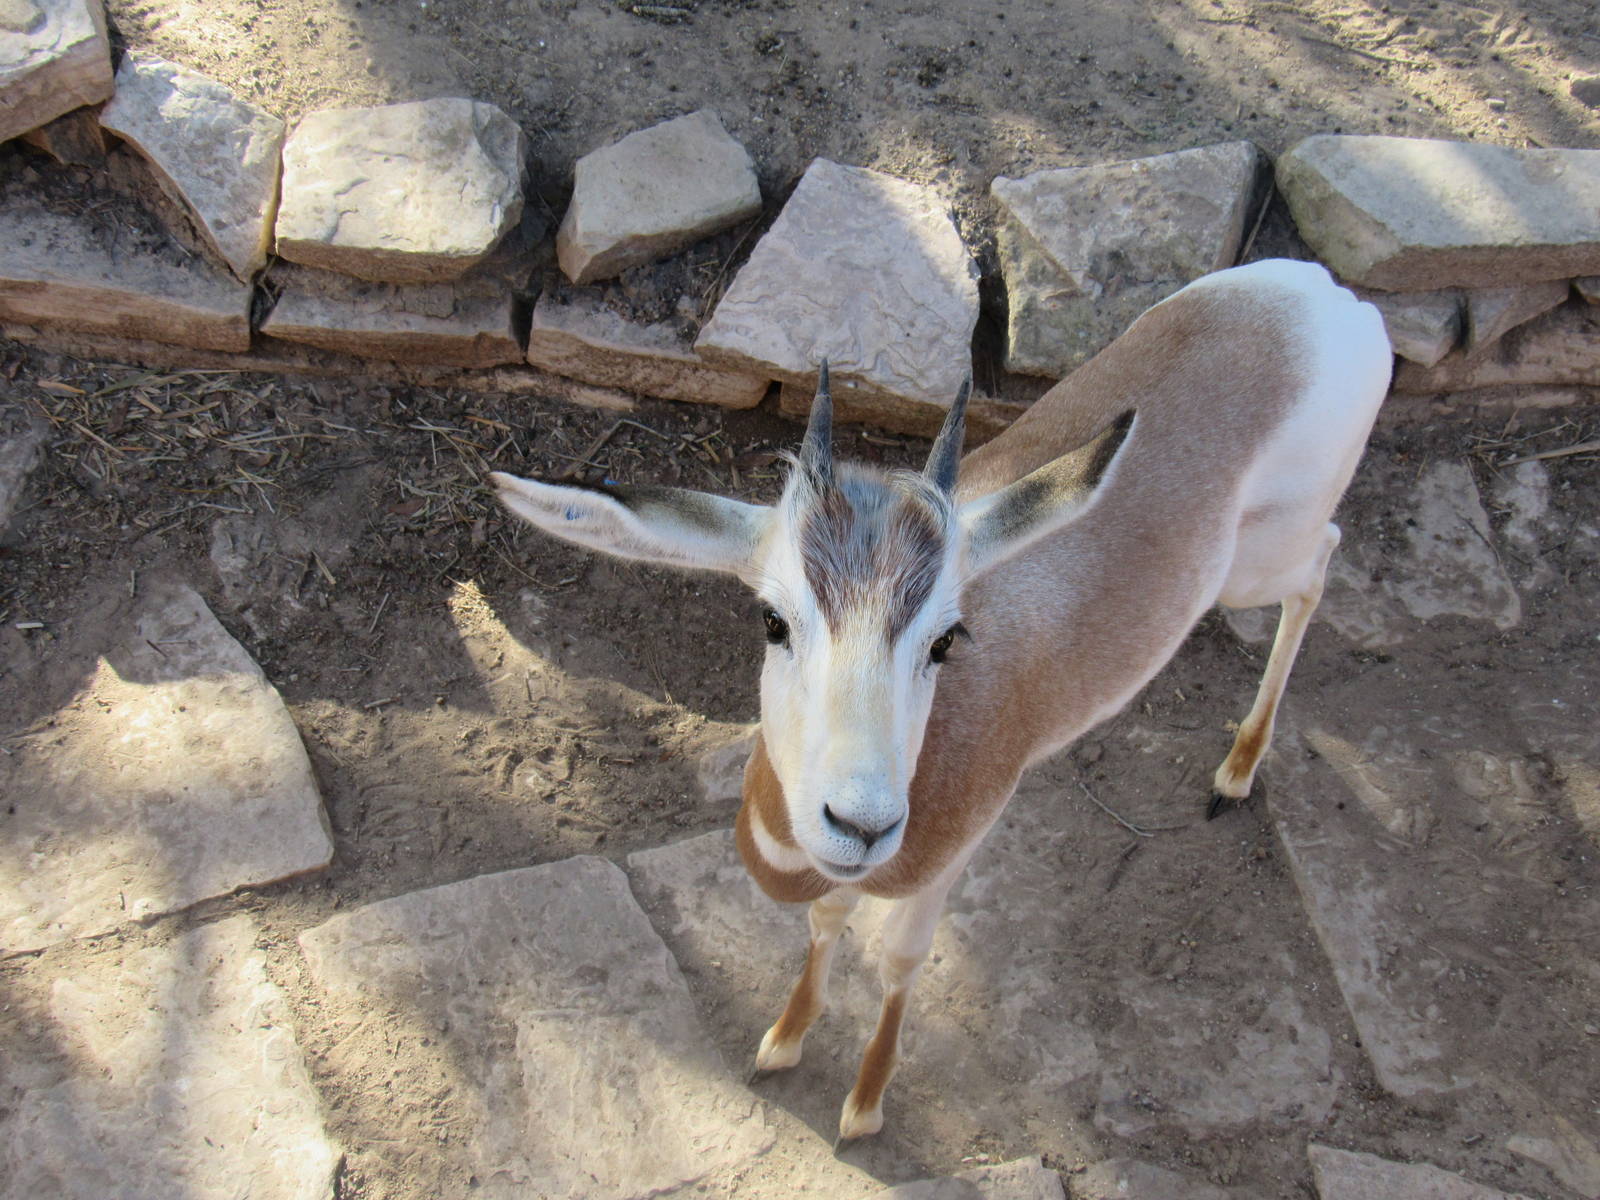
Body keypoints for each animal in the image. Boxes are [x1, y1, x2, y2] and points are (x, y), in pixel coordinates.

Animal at [491, 258, 1392, 1142]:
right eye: (772, 620)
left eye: (946, 641)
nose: (861, 823)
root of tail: (1336, 300)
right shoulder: (836, 873)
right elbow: (825, 922)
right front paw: (783, 1038)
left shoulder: (955, 854)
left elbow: (899, 957)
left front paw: (865, 1104)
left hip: (1259, 565)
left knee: (1322, 565)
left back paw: (1234, 773)